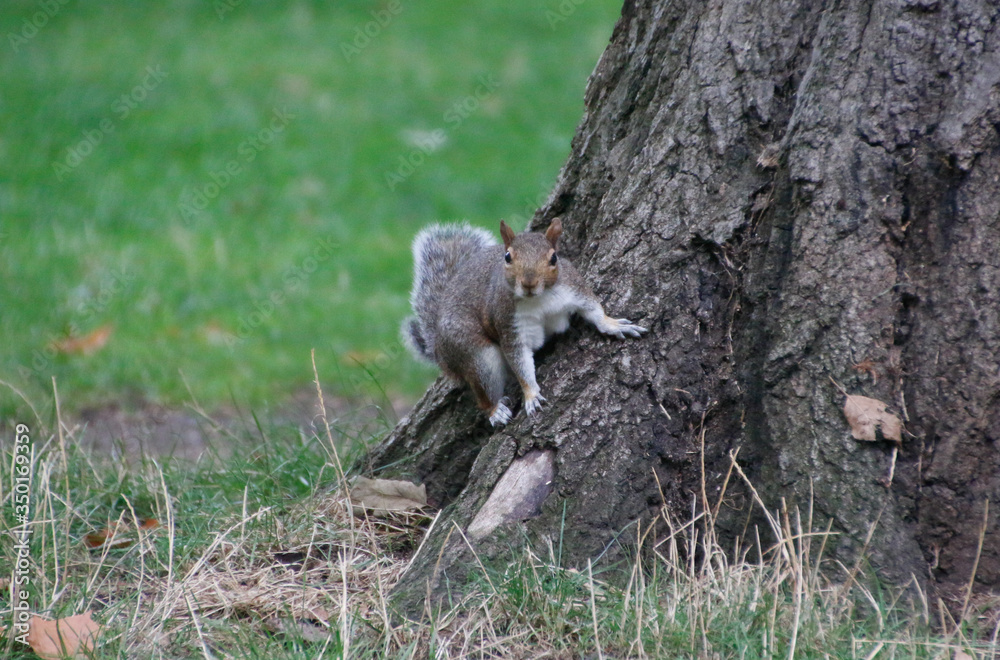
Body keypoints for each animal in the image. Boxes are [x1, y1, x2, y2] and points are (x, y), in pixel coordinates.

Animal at [404, 220, 648, 428]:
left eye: (554, 258)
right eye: (508, 257)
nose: (529, 282)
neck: (539, 299)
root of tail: (439, 350)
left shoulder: (574, 288)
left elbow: (594, 310)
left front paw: (613, 325)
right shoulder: (509, 324)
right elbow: (519, 361)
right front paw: (531, 394)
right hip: (473, 352)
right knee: (482, 389)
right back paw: (495, 411)